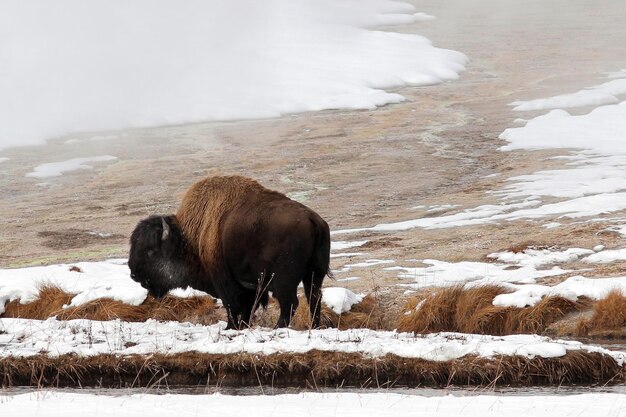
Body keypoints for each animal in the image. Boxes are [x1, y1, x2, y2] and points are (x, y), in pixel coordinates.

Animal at [128, 175, 332, 328]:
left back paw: (278, 327)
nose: (133, 274)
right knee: (313, 299)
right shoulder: (248, 287)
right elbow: (246, 309)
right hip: (314, 275)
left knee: (290, 303)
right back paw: (314, 326)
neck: (189, 236)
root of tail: (313, 219)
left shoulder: (224, 281)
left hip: (284, 280)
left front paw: (230, 327)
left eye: (150, 251)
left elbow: (232, 307)